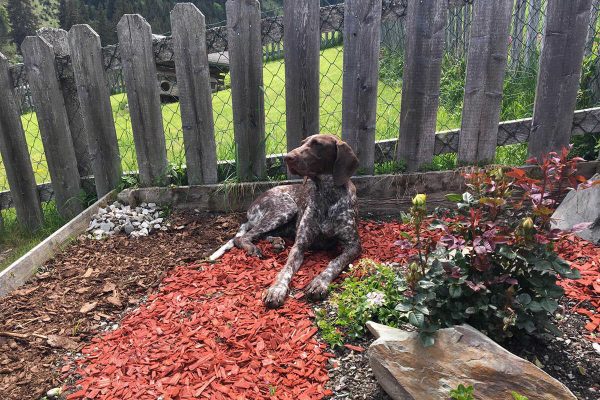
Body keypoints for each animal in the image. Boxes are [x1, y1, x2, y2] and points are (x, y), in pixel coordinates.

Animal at [211, 134, 360, 306]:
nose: (287, 157)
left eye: (318, 144)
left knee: (259, 234)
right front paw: (277, 289)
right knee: (243, 237)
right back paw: (254, 248)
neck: (327, 196)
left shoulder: (354, 245)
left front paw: (319, 283)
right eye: (302, 143)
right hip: (285, 209)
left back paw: (276, 241)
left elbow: (335, 263)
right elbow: (286, 269)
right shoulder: (299, 246)